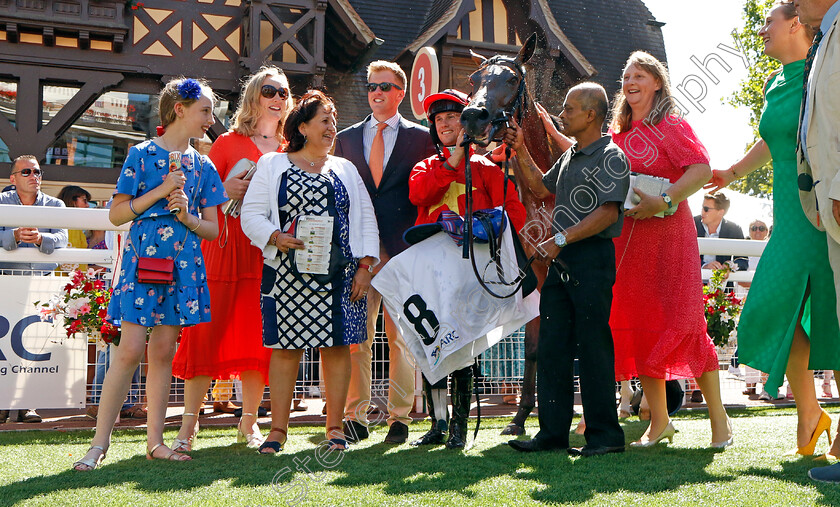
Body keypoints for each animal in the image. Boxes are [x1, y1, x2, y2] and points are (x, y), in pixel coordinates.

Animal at [456, 32, 568, 436]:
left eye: (512, 78)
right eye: (474, 79)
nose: (473, 116)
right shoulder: (536, 269)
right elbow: (535, 346)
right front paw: (520, 419)